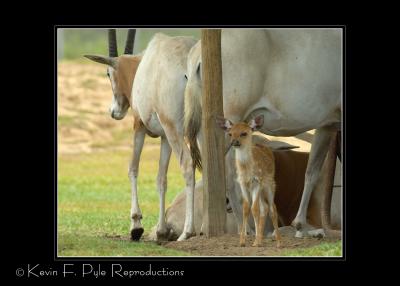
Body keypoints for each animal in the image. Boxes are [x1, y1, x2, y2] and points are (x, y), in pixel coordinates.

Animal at [219, 115, 282, 247]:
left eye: (244, 133)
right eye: (230, 133)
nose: (234, 142)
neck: (247, 170)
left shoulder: (256, 182)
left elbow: (254, 208)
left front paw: (255, 242)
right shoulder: (242, 183)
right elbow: (246, 207)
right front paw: (243, 242)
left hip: (269, 184)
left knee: (272, 208)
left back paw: (279, 242)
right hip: (262, 190)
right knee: (265, 207)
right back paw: (261, 239)